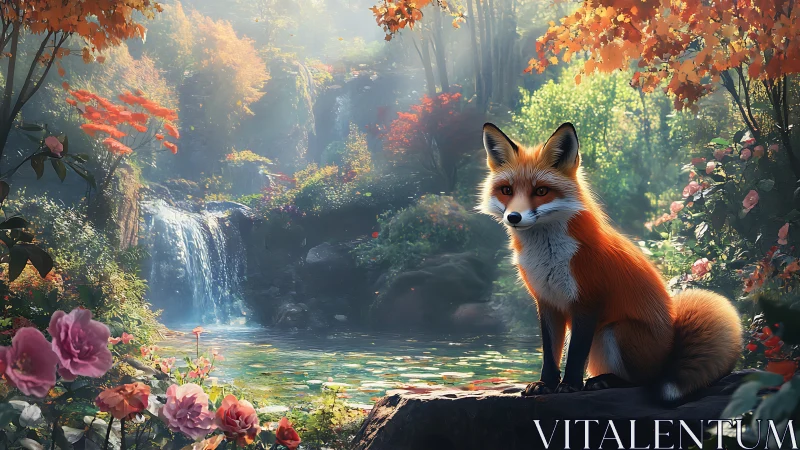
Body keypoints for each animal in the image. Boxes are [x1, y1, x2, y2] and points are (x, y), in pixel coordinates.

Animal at [479, 122, 742, 402]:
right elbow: (550, 354)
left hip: (613, 331)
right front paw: (545, 384)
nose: (513, 217)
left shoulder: (588, 300)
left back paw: (604, 381)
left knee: (644, 380)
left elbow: (575, 354)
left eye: (541, 191)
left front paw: (570, 385)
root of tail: (670, 352)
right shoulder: (547, 302)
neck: (548, 255)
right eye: (507, 190)